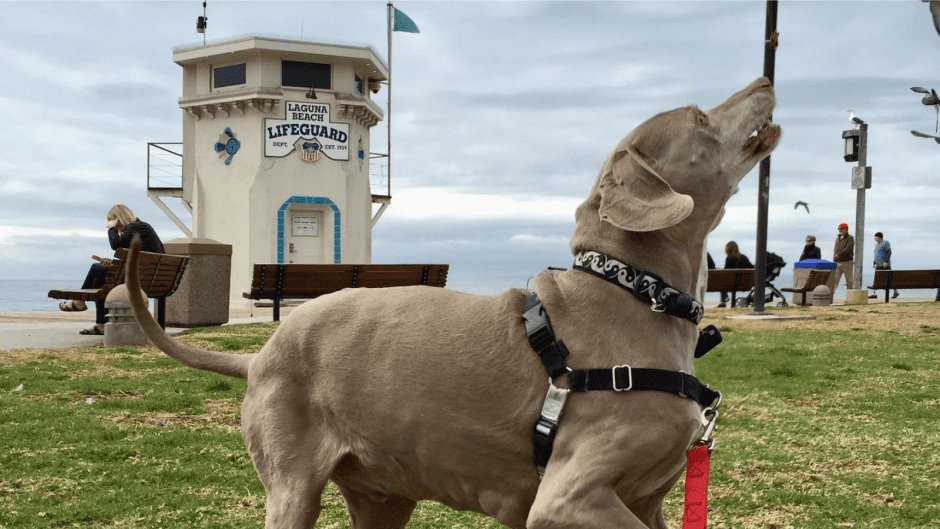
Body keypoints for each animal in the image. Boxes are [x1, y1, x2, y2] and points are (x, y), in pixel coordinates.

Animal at [129, 76, 784, 524]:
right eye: (700, 117)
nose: (765, 80)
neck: (635, 292)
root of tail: (260, 354)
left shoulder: (646, 501)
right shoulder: (568, 497)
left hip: (381, 494)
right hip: (293, 486)